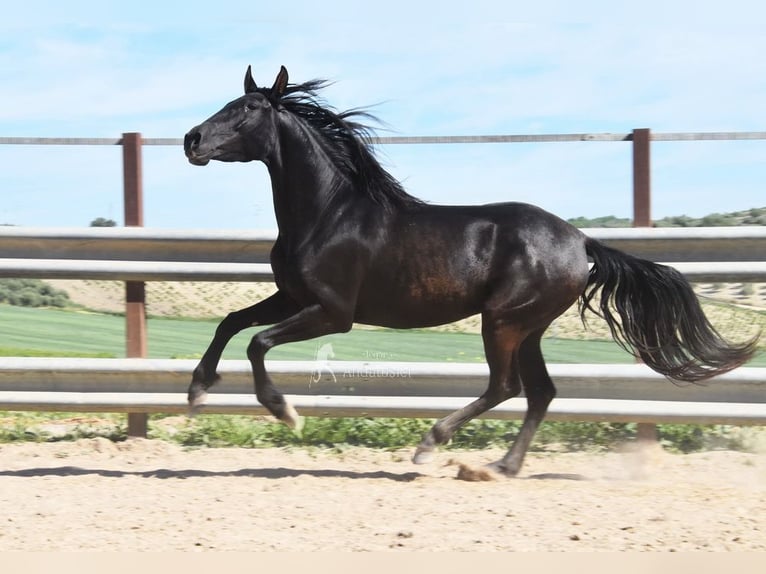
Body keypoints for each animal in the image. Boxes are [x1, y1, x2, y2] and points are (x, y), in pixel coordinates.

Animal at [183, 65, 759, 476]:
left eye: (248, 108)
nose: (192, 140)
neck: (330, 211)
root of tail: (581, 241)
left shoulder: (332, 312)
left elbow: (258, 342)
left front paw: (285, 411)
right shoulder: (292, 296)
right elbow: (231, 323)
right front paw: (197, 390)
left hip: (502, 321)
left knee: (506, 387)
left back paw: (429, 446)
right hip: (528, 327)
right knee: (541, 392)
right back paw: (501, 466)